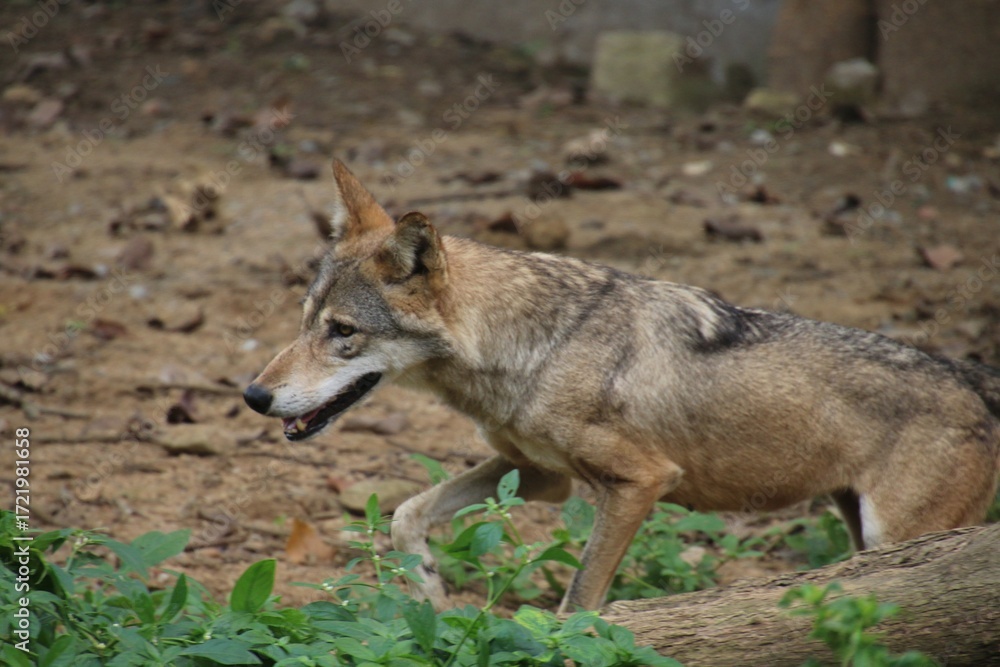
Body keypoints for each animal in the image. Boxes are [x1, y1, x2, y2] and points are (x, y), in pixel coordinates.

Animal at [244, 160, 1000, 612]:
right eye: (305, 320)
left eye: (342, 332)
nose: (254, 396)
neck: (535, 346)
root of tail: (975, 379)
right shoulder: (539, 473)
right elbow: (407, 513)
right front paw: (431, 598)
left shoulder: (641, 481)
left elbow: (577, 602)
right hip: (862, 536)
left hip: (897, 536)